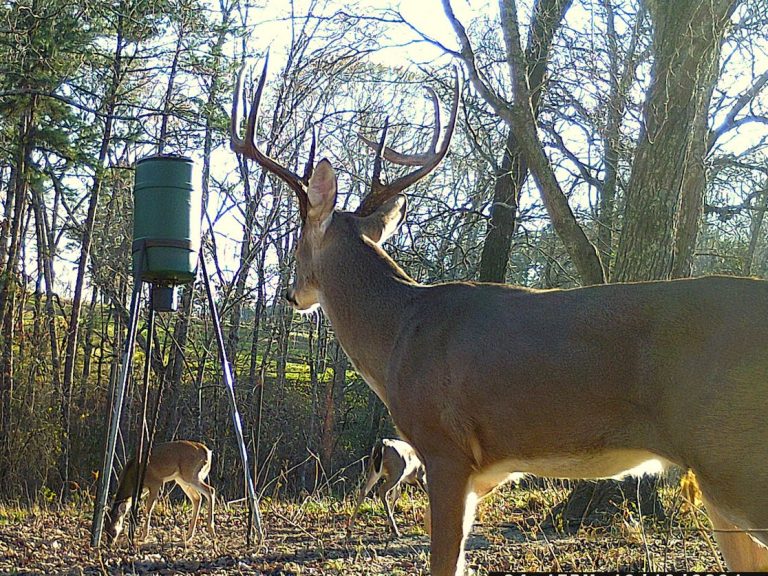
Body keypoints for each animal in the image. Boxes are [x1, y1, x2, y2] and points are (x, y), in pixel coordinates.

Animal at [230, 60, 768, 572]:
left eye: (298, 241)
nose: (289, 294)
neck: (399, 334)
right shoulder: (485, 471)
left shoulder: (443, 449)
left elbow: (443, 563)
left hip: (734, 455)